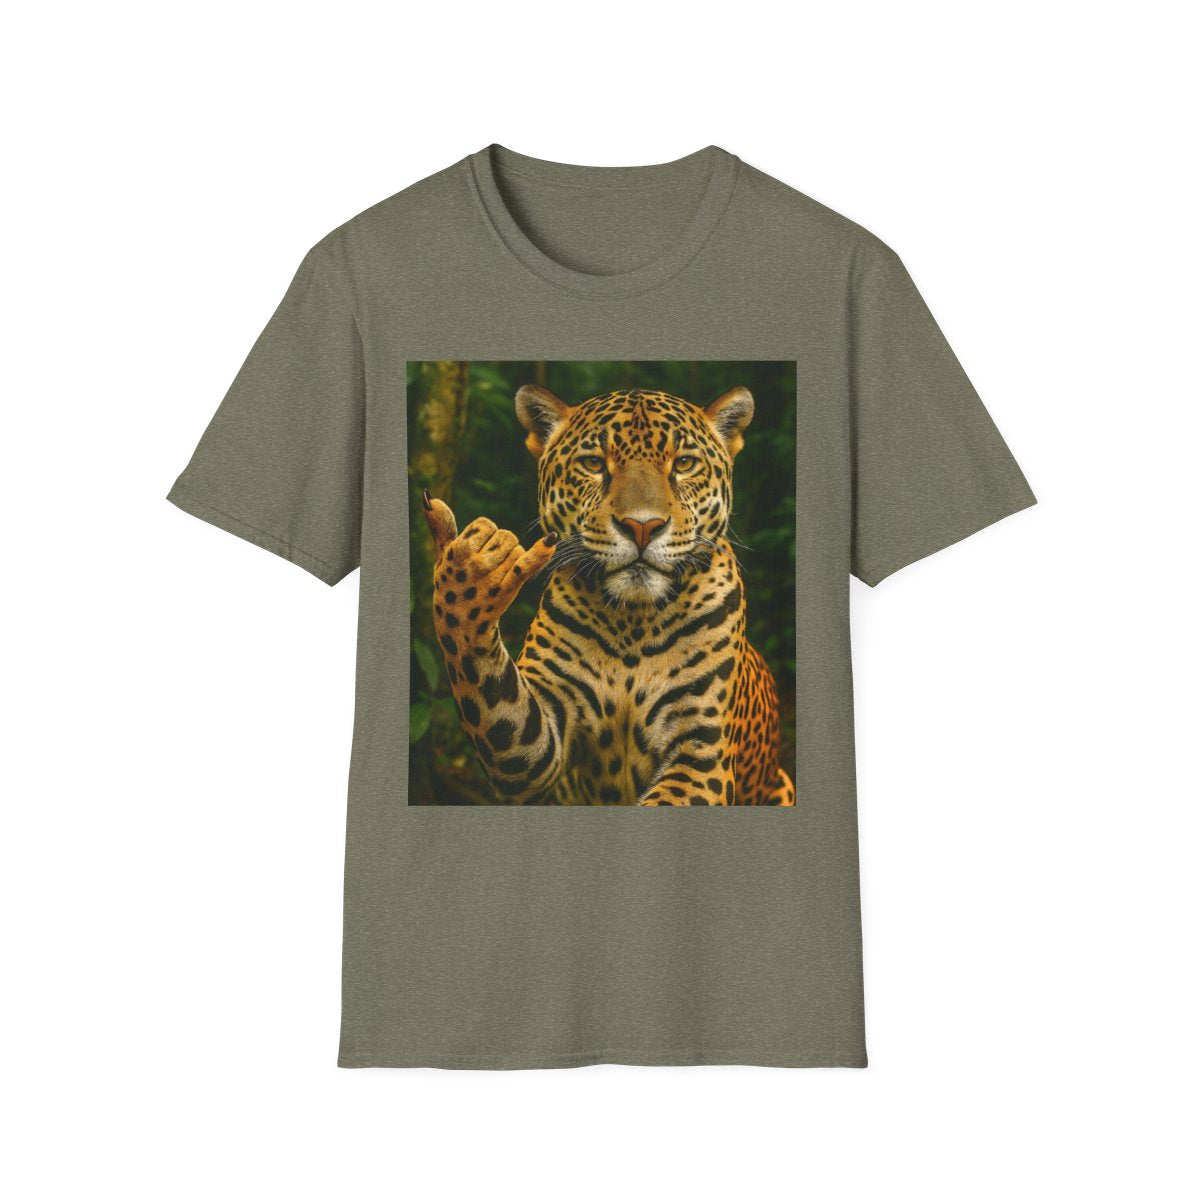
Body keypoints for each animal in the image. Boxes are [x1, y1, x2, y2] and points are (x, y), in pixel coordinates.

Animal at [421, 384, 796, 807]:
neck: (634, 622)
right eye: (593, 463)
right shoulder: (535, 747)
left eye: (684, 463)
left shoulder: (702, 749)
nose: (642, 526)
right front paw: (474, 567)